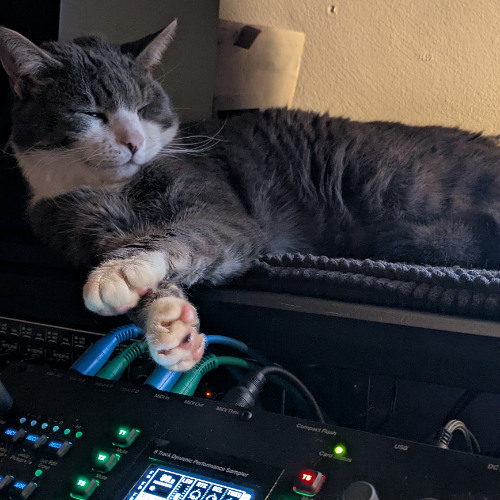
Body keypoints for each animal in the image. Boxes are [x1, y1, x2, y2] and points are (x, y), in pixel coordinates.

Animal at [1, 22, 500, 371]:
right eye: (91, 113)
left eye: (144, 108)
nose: (133, 141)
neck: (111, 187)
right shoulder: (80, 226)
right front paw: (171, 327)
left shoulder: (222, 212)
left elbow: (180, 236)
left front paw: (118, 275)